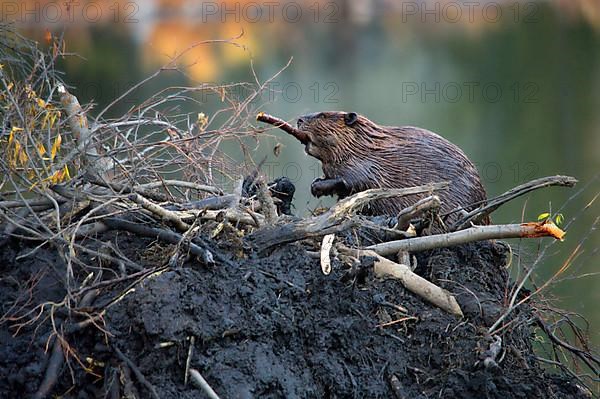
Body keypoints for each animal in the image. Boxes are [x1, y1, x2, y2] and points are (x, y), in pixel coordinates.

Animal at [294, 111, 488, 227]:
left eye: (323, 115)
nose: (299, 119)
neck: (362, 145)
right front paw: (317, 184)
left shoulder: (368, 165)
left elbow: (356, 182)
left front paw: (317, 187)